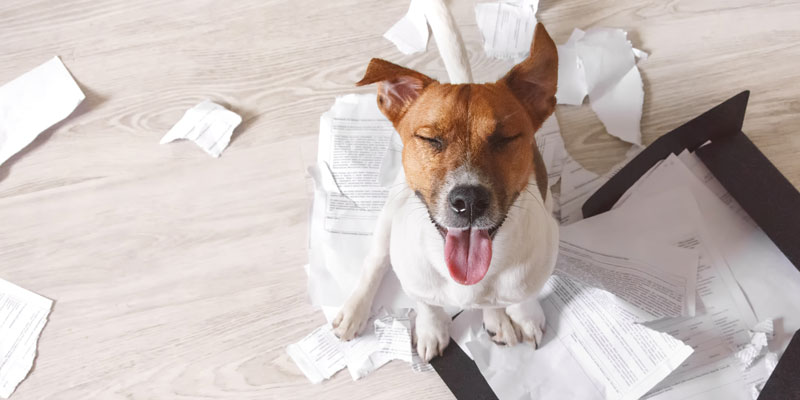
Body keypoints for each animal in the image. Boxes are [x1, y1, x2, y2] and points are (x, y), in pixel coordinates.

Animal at [334, 23, 560, 360]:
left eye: (505, 139)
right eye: (431, 139)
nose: (469, 200)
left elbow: (524, 297)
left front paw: (525, 317)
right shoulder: (417, 283)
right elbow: (427, 305)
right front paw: (432, 330)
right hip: (390, 212)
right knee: (376, 260)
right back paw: (354, 310)